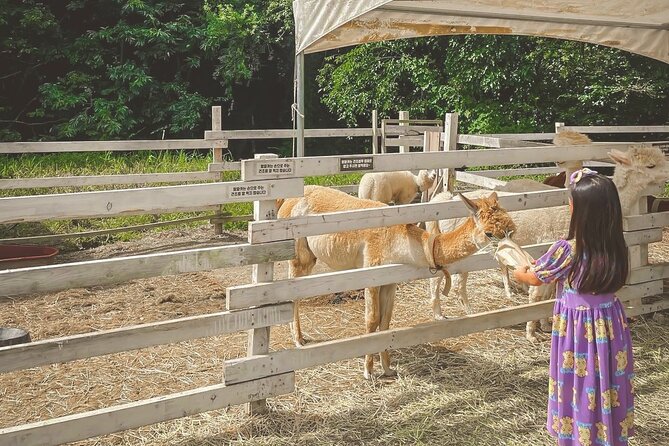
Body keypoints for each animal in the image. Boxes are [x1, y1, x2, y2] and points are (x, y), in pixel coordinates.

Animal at [278, 185, 515, 379]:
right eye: (489, 233)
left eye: (510, 228)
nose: (509, 250)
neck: (400, 240)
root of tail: (287, 200)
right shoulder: (371, 273)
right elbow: (372, 320)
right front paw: (368, 371)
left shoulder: (391, 280)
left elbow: (385, 322)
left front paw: (387, 368)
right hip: (299, 254)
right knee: (292, 293)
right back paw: (298, 340)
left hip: (310, 256)